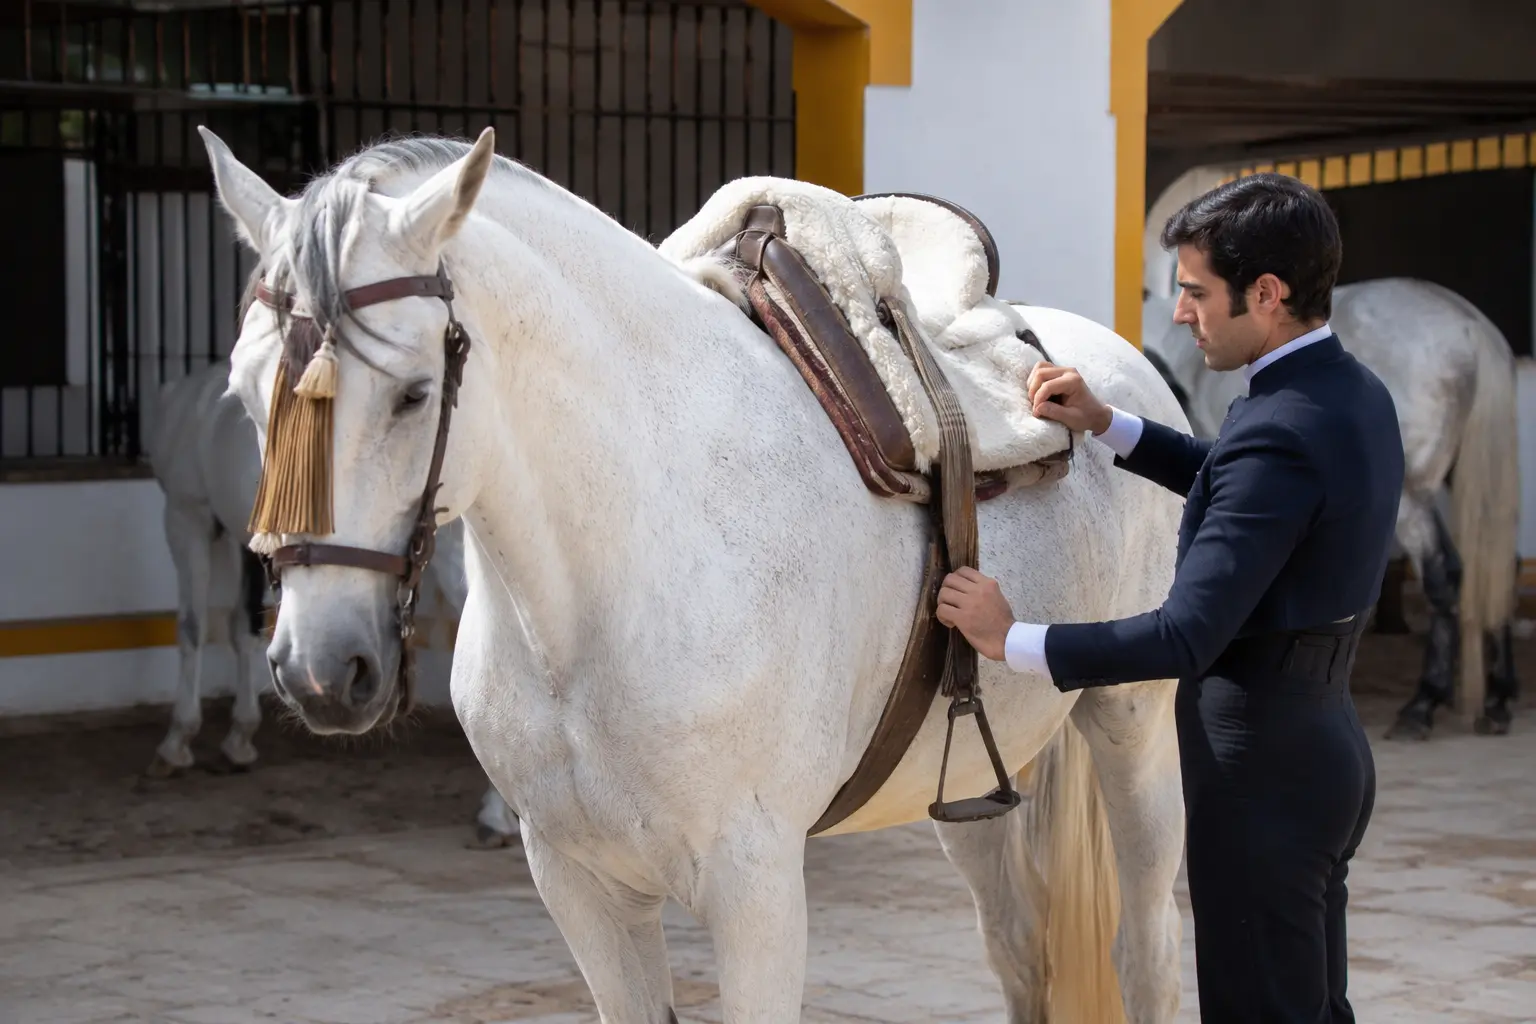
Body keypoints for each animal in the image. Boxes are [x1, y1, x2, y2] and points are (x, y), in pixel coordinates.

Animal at [144, 358, 520, 847]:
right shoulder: (246, 542)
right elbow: (244, 628)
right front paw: (240, 737)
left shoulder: (188, 517)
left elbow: (191, 628)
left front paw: (177, 741)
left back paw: (497, 812)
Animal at [198, 124, 1192, 1023]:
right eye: (245, 392)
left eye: (411, 394)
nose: (320, 671)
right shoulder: (577, 882)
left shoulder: (757, 886)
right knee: (1020, 953)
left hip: (1132, 731)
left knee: (1143, 953)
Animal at [1141, 280, 1520, 738]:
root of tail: (1472, 327)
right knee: (1497, 570)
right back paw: (1498, 698)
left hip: (1413, 498)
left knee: (1443, 575)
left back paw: (1423, 703)